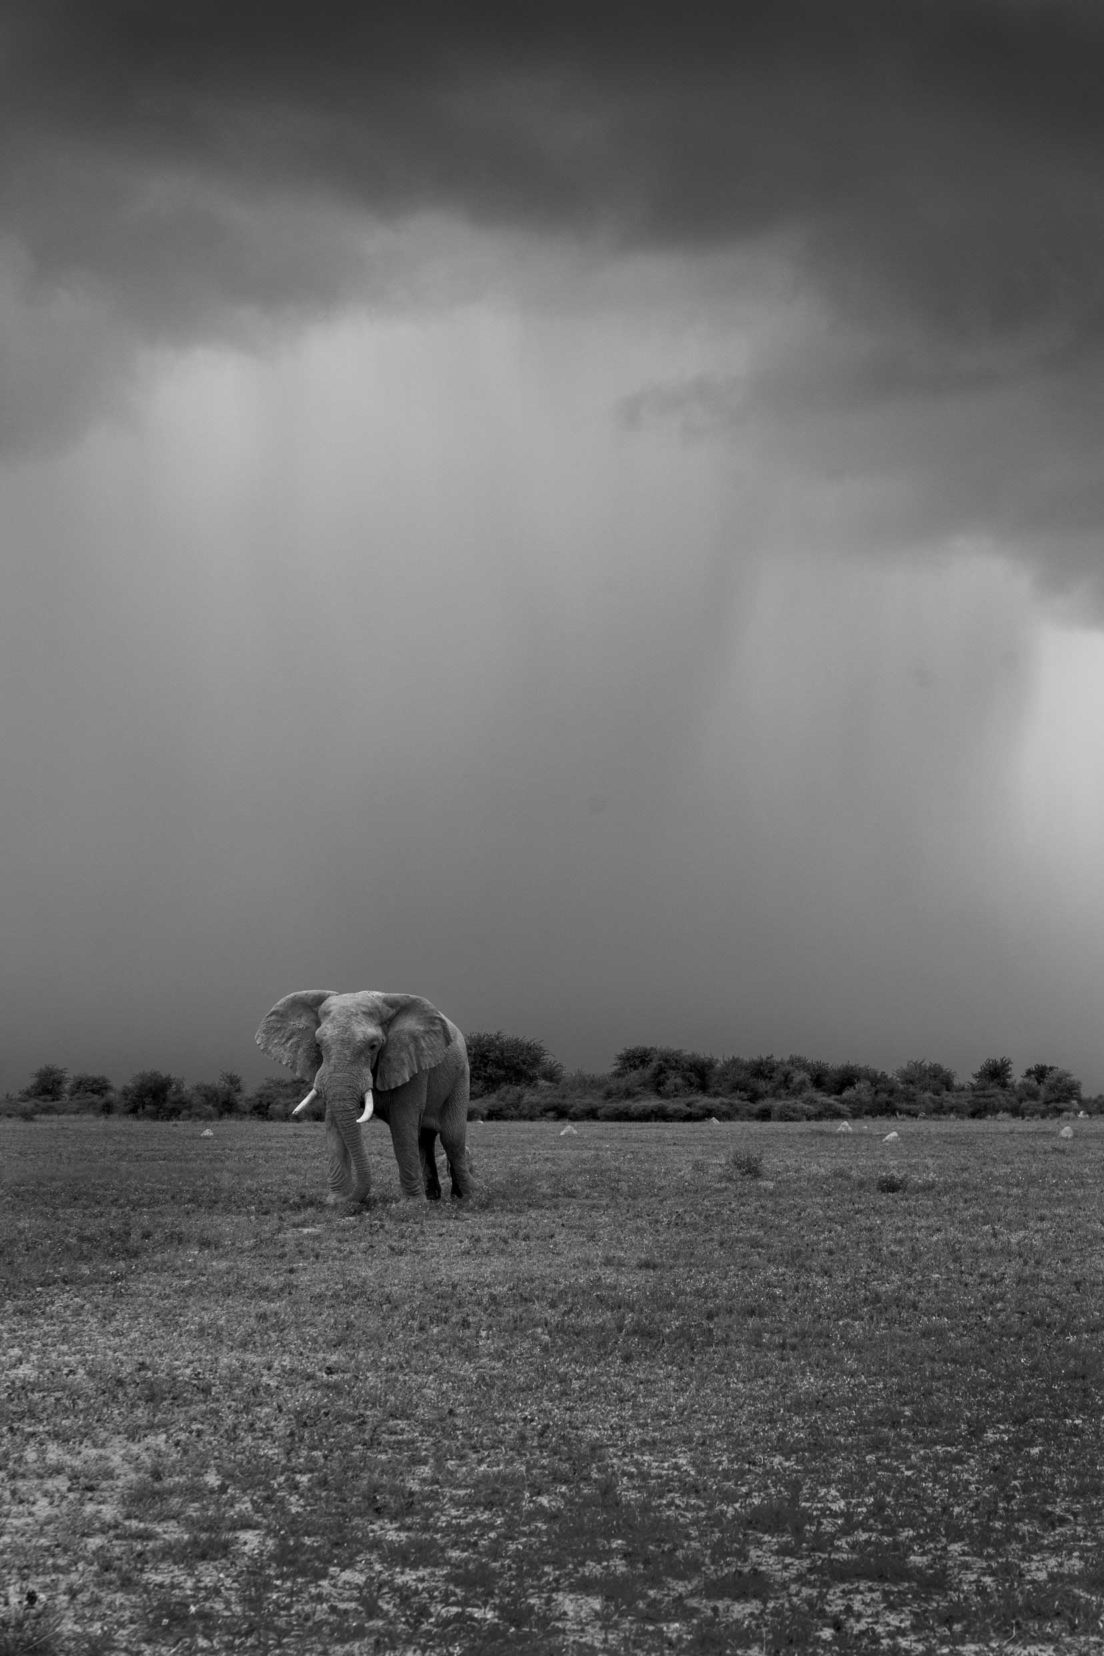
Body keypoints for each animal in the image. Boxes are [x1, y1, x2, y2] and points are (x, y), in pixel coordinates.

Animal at [256, 980, 473, 1205]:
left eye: (373, 1046)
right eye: (318, 1045)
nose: (352, 1199)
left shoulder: (412, 1061)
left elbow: (403, 1121)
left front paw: (411, 1205)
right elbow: (334, 1122)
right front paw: (336, 1202)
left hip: (461, 1074)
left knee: (451, 1137)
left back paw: (467, 1197)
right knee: (424, 1139)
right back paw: (434, 1198)